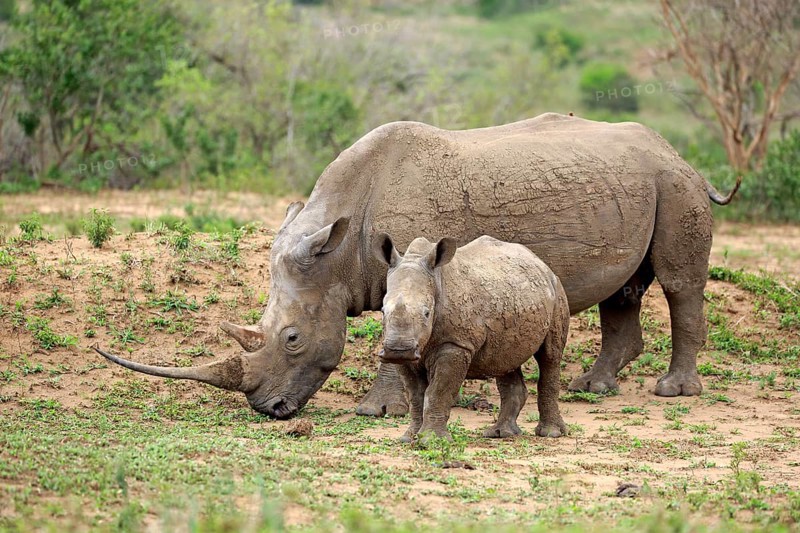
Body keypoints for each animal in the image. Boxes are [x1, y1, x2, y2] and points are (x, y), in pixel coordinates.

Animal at [95, 112, 740, 419]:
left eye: (293, 338)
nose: (269, 411)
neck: (343, 244)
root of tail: (673, 150)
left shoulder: (409, 261)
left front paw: (377, 411)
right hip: (637, 181)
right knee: (622, 291)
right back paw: (593, 387)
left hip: (673, 182)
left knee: (679, 283)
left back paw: (673, 392)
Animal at [375, 234, 569, 442]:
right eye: (383, 311)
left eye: (427, 313)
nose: (398, 350)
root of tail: (540, 263)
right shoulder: (410, 354)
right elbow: (415, 395)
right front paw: (410, 438)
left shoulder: (456, 344)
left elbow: (437, 392)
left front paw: (432, 440)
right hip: (512, 297)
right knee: (504, 360)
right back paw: (499, 433)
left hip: (557, 291)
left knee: (550, 357)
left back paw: (551, 433)